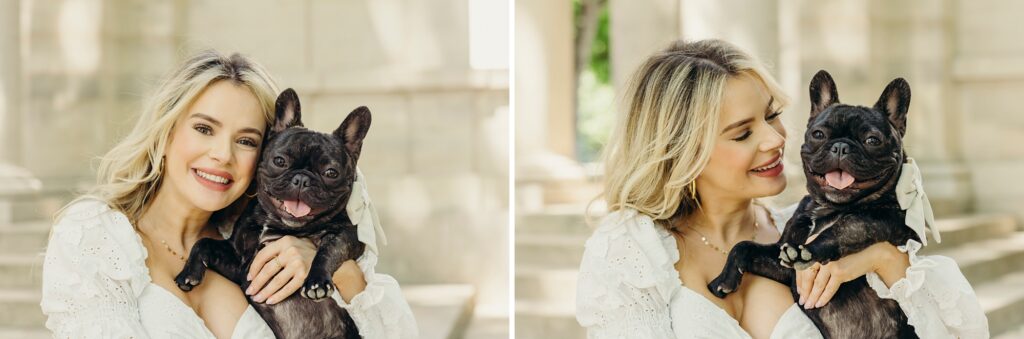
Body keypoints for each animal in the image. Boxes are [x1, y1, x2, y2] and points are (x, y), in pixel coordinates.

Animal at [175, 88, 368, 339]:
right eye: (279, 161)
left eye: (331, 173)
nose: (302, 179)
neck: (279, 224)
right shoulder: (241, 264)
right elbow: (204, 242)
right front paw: (189, 272)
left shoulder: (348, 236)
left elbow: (329, 249)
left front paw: (316, 282)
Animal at [712, 70, 921, 337]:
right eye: (819, 134)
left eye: (872, 140)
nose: (841, 146)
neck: (830, 207)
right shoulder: (782, 262)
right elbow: (744, 246)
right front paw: (724, 279)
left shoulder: (891, 222)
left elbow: (849, 225)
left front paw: (812, 249)